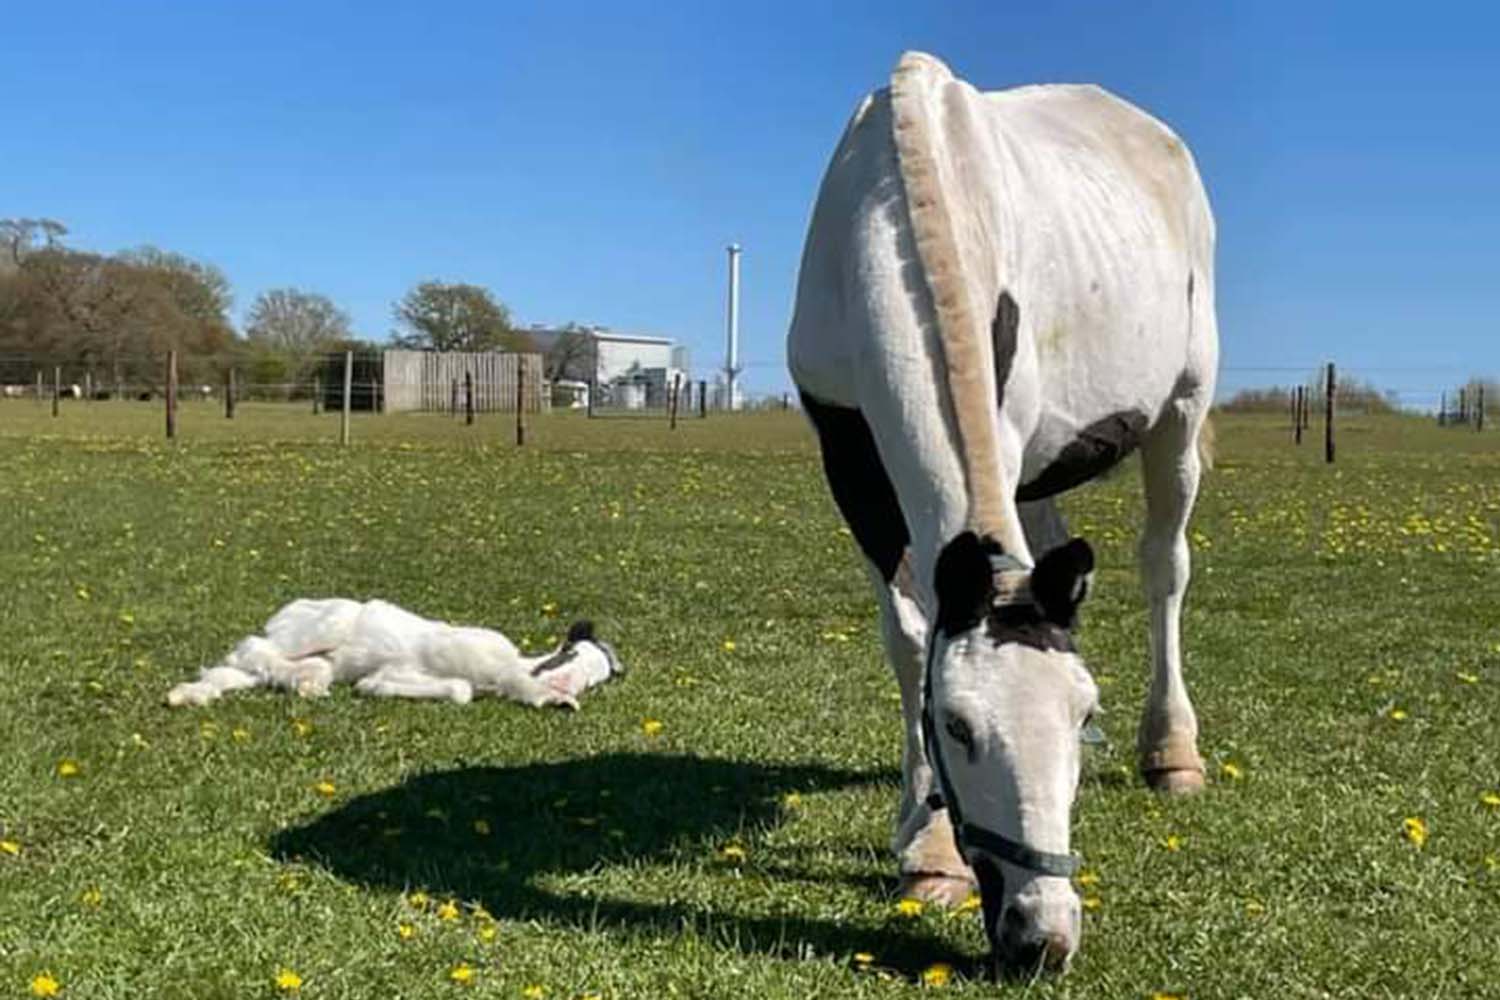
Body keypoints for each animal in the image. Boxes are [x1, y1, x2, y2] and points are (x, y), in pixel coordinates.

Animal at [167, 593, 624, 710]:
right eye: (568, 654)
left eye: (594, 680)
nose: (567, 686)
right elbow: (465, 688)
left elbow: (457, 690)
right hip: (322, 626)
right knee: (252, 648)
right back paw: (307, 680)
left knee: (236, 670)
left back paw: (188, 695)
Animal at [792, 50, 1212, 971]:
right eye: (955, 726)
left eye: (1082, 711)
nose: (1043, 934)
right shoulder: (849, 464)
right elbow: (910, 637)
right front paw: (928, 849)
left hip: (1183, 406)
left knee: (1165, 568)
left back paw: (1173, 752)